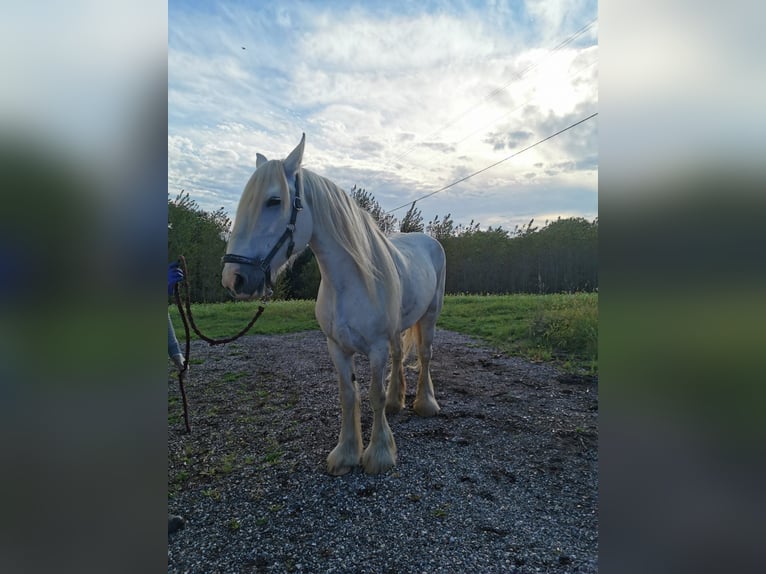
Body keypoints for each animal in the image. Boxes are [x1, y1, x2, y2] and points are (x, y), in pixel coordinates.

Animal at [221, 134, 446, 475]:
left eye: (274, 201)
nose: (234, 278)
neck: (349, 283)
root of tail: (428, 240)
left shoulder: (376, 348)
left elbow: (374, 395)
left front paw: (379, 455)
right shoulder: (336, 347)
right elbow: (348, 396)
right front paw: (346, 454)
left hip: (431, 314)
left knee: (424, 355)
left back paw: (425, 404)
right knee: (399, 356)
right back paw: (397, 402)